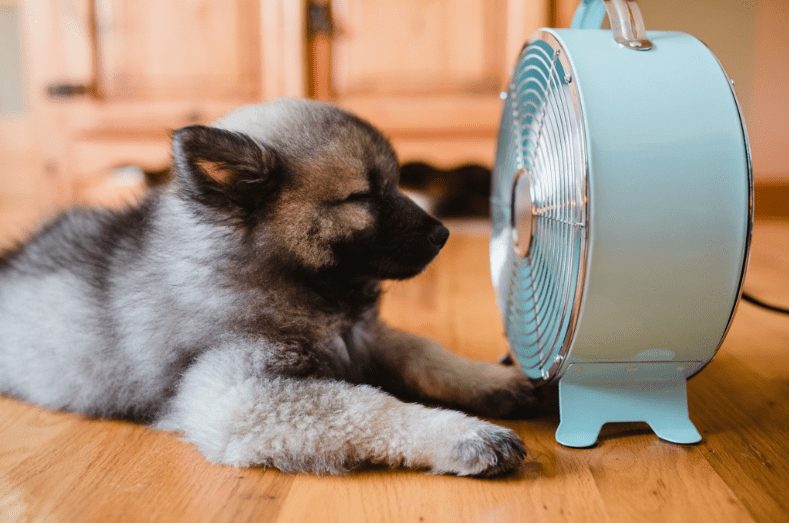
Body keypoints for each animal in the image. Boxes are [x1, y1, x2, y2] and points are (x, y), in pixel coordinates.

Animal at [0, 98, 536, 478]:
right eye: (363, 197)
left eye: (398, 183)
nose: (442, 234)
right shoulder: (237, 394)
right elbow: (369, 407)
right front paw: (467, 436)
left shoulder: (364, 336)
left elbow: (427, 353)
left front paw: (496, 380)